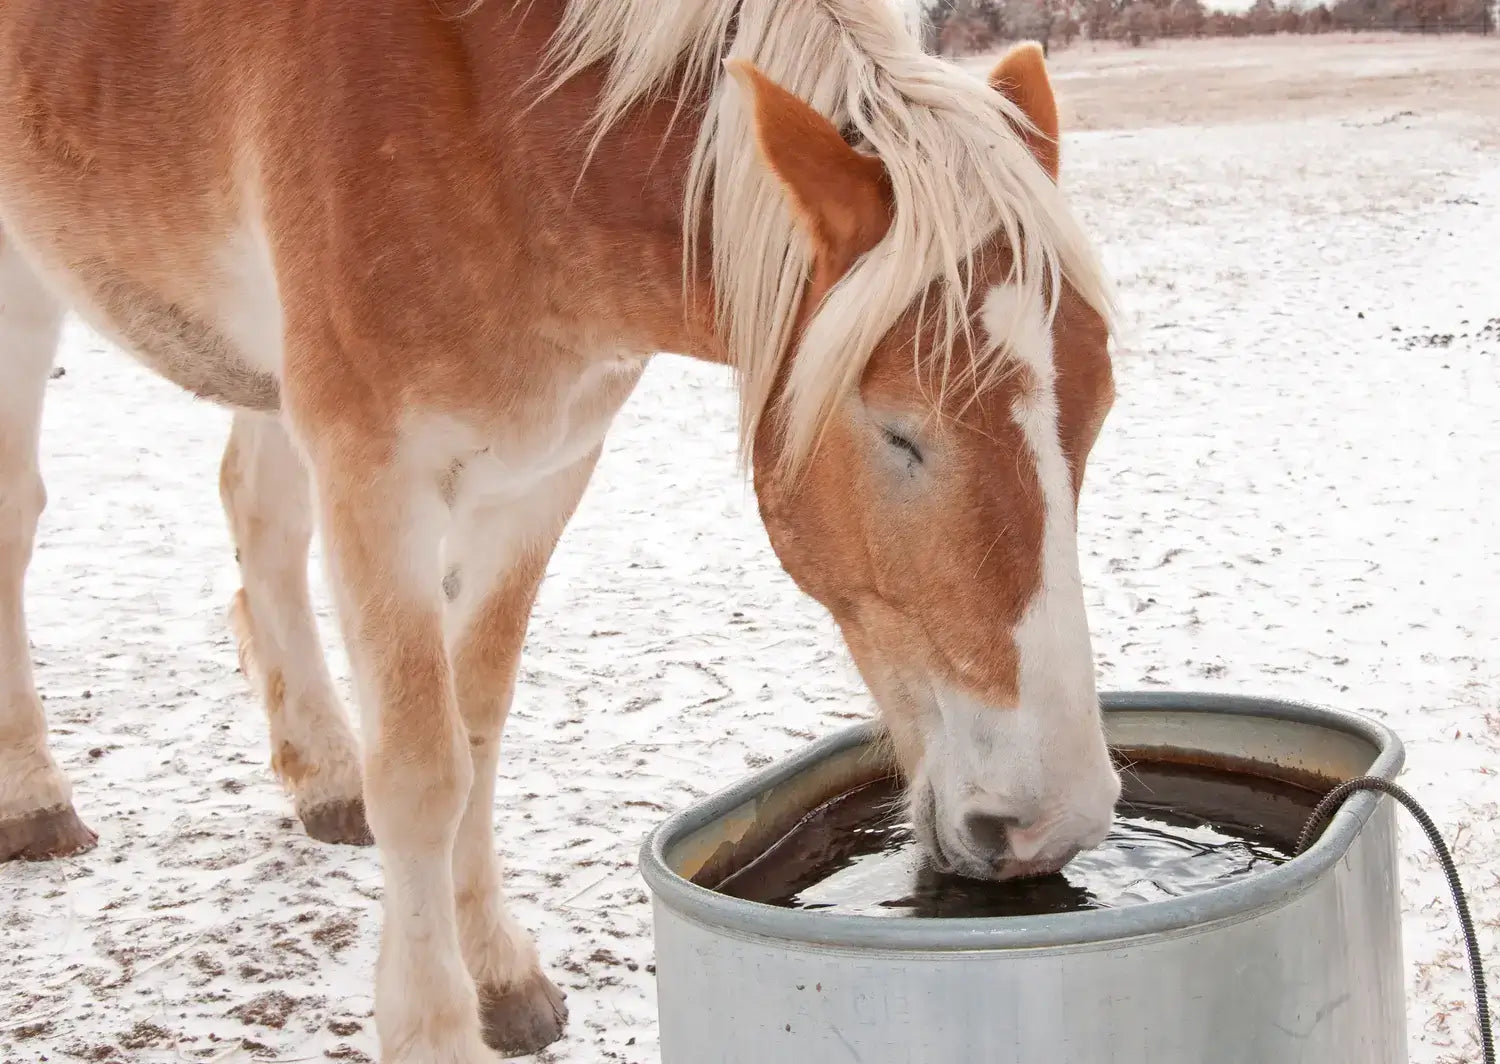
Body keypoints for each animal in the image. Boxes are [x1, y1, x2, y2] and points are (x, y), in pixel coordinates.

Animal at [0, 0, 1121, 1058]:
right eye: (899, 431)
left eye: (1099, 411)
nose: (1051, 816)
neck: (497, 115)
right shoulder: (376, 476)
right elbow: (422, 768)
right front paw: (434, 1031)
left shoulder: (541, 475)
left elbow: (476, 730)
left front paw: (499, 977)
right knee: (22, 517)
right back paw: (33, 798)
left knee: (259, 517)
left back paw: (321, 773)